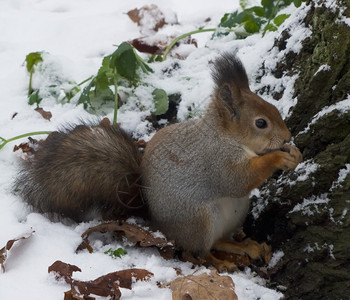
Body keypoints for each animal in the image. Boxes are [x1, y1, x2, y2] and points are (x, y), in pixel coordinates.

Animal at [15, 52, 302, 270]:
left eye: (273, 108)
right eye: (261, 123)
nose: (288, 136)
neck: (226, 137)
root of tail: (158, 222)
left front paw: (294, 153)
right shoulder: (215, 160)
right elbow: (238, 180)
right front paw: (279, 157)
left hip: (235, 213)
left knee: (219, 240)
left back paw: (244, 246)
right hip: (199, 220)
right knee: (197, 251)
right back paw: (220, 262)